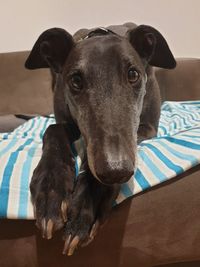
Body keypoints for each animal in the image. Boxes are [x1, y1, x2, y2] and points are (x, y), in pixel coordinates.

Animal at [25, 22, 177, 256]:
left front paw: (88, 203)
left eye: (133, 74)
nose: (116, 171)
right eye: (76, 80)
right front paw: (51, 186)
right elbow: (53, 128)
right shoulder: (66, 118)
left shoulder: (147, 128)